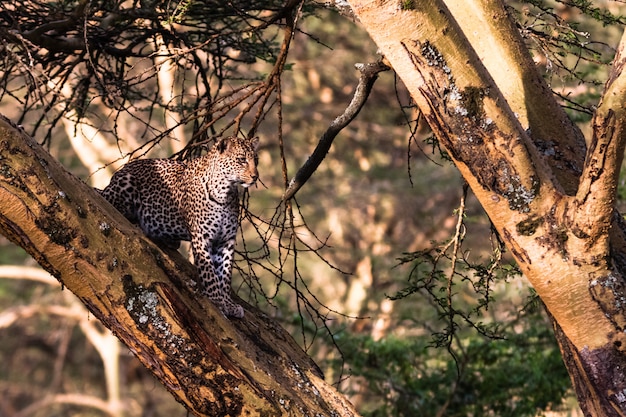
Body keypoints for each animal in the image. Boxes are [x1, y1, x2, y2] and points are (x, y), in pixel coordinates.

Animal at [98, 135, 260, 316]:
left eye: (256, 160)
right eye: (241, 160)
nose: (255, 176)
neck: (225, 192)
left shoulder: (226, 241)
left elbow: (224, 274)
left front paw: (228, 303)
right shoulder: (201, 237)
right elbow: (209, 273)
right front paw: (217, 300)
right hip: (126, 183)